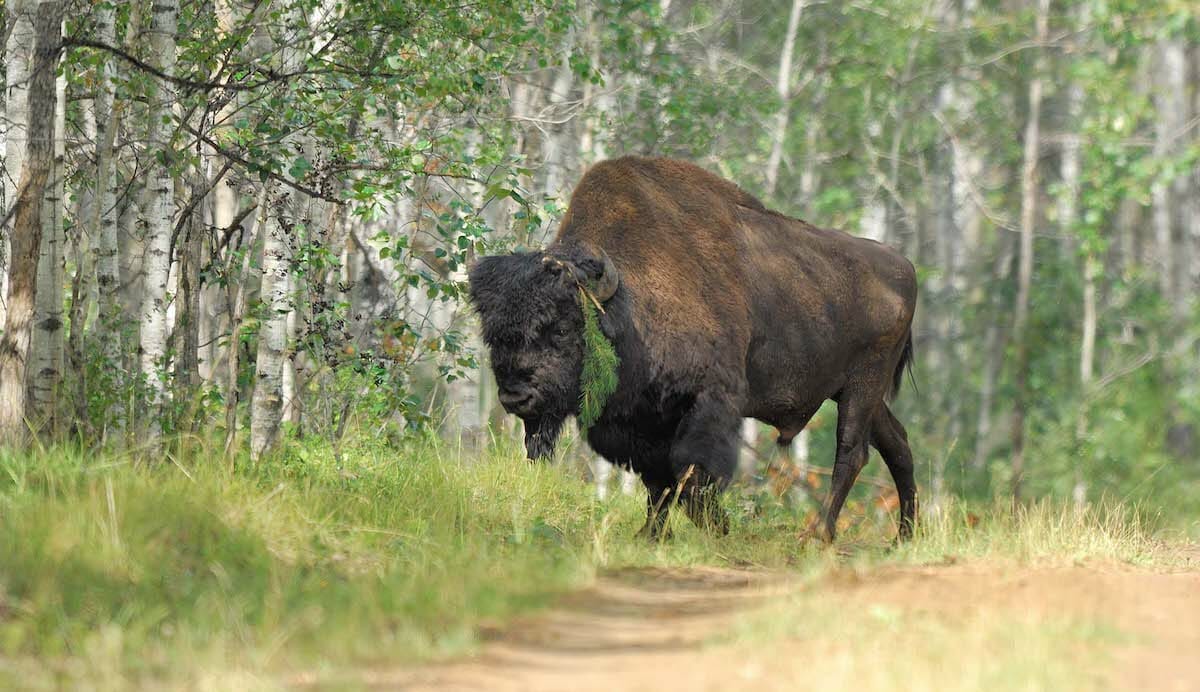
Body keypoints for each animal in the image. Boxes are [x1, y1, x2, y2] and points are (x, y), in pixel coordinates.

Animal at [468, 154, 916, 539]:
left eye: (561, 328)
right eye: (492, 333)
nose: (515, 396)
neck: (627, 301)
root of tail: (904, 267)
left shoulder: (708, 402)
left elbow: (689, 469)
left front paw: (718, 528)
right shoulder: (645, 421)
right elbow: (659, 480)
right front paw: (652, 534)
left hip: (862, 386)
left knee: (852, 451)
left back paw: (819, 535)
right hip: (857, 392)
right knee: (897, 442)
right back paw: (903, 537)